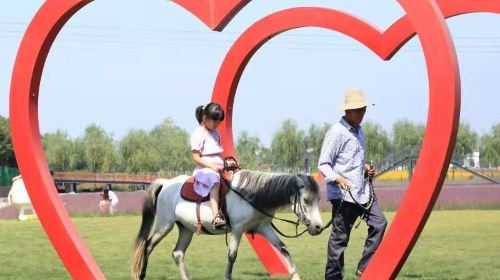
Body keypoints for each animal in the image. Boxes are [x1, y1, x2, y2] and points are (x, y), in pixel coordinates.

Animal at [131, 170, 324, 278]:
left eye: (317, 199)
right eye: (306, 200)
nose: (318, 227)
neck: (251, 194)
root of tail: (165, 183)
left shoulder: (264, 228)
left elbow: (284, 249)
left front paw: (295, 276)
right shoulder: (238, 230)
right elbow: (232, 256)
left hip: (186, 229)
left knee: (178, 254)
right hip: (165, 225)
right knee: (148, 246)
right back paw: (141, 274)